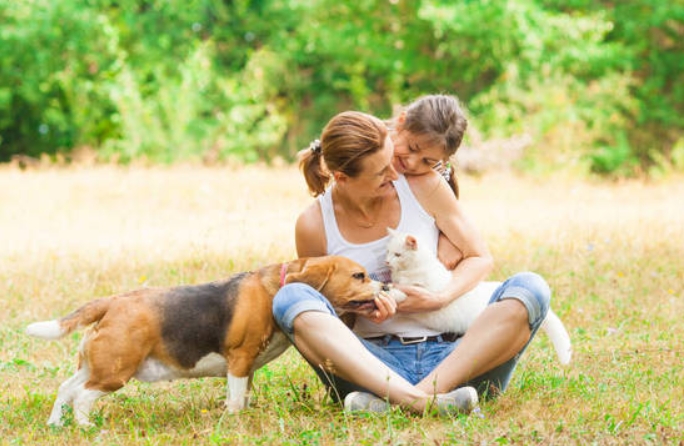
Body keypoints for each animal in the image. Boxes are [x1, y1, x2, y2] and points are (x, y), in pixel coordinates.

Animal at [26, 254, 382, 426]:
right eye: (358, 276)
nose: (386, 287)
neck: (274, 287)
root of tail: (111, 302)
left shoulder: (247, 368)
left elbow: (243, 396)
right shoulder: (240, 359)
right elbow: (236, 400)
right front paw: (234, 421)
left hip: (96, 367)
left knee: (65, 390)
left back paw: (55, 424)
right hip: (114, 373)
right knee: (82, 397)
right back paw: (86, 426)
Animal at [384, 228, 572, 364]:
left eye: (398, 254)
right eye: (388, 252)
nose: (386, 262)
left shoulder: (424, 292)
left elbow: (403, 291)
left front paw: (389, 292)